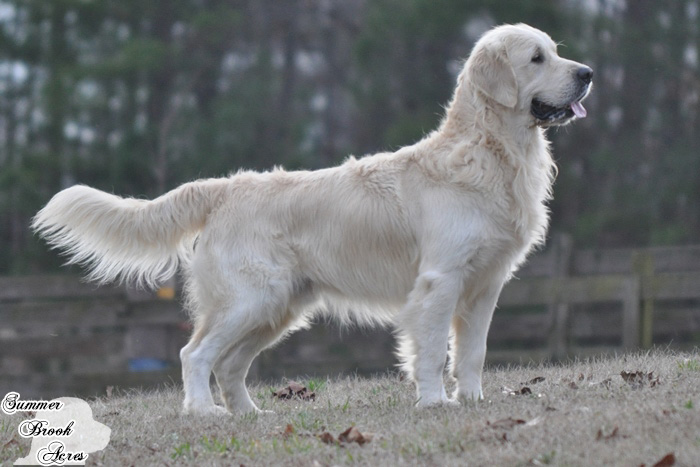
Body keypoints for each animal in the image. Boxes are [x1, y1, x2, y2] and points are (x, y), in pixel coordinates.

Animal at [32, 23, 592, 414]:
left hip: (278, 307)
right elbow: (433, 350)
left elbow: (472, 352)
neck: (492, 153)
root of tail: (224, 187)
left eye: (555, 49)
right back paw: (204, 412)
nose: (587, 74)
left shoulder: (485, 285)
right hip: (252, 298)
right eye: (536, 57)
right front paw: (434, 402)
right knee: (197, 355)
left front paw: (472, 401)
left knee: (230, 364)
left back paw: (249, 413)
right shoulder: (440, 280)